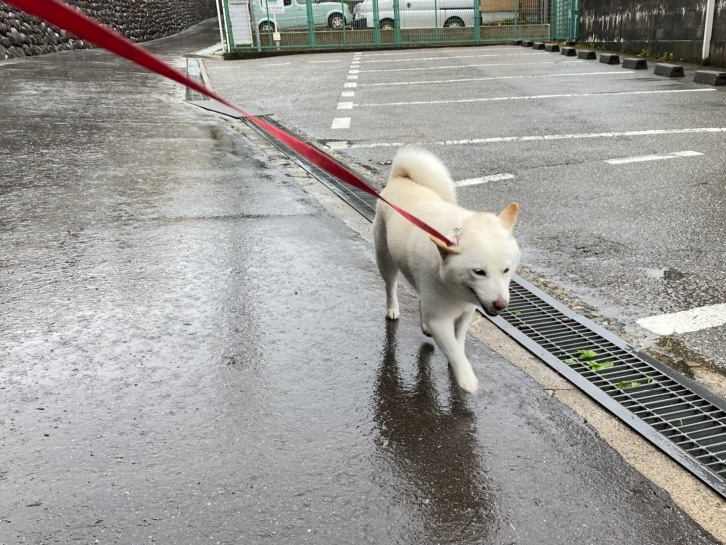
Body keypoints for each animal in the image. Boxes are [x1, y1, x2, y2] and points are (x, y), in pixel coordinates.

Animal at [372, 147, 520, 394]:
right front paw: (466, 377)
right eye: (479, 272)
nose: (501, 304)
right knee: (390, 286)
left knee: (420, 297)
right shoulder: (440, 319)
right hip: (385, 258)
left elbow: (458, 340)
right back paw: (392, 309)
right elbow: (452, 347)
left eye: (506, 270)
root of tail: (401, 177)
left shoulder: (467, 311)